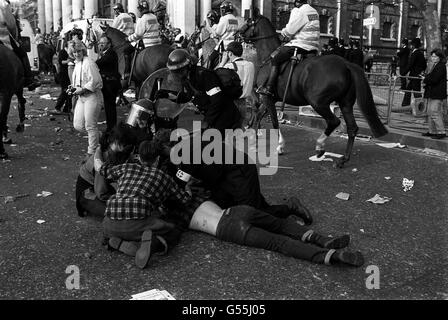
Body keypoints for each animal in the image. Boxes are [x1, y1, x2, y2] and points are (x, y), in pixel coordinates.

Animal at [238, 13, 388, 168]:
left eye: (248, 21)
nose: (237, 34)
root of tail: (346, 64)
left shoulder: (267, 97)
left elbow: (274, 121)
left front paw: (279, 146)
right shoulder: (270, 99)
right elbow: (259, 115)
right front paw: (254, 140)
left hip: (318, 103)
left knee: (334, 121)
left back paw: (320, 147)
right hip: (345, 103)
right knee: (352, 128)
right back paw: (343, 159)